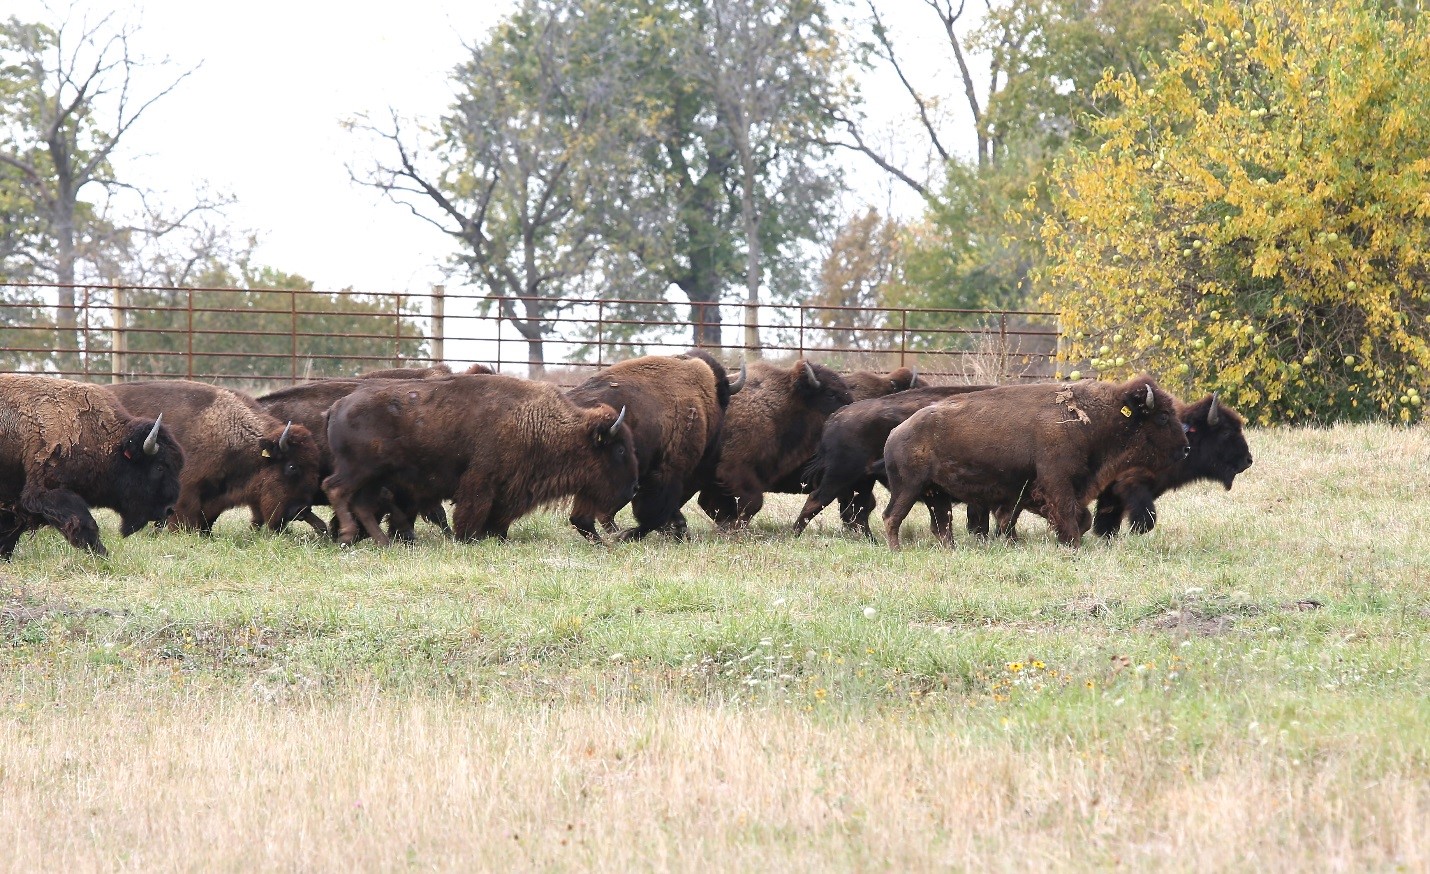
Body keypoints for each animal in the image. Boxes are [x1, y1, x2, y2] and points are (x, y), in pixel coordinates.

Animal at [323, 374, 637, 545]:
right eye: (620, 450)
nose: (634, 488)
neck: (536, 421)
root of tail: (336, 406)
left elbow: (499, 516)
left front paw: (495, 536)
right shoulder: (481, 482)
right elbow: (473, 511)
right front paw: (468, 537)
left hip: (372, 478)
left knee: (360, 504)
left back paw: (383, 541)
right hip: (360, 471)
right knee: (335, 488)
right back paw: (349, 535)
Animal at [882, 376, 1190, 549]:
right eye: (1163, 416)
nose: (1186, 449)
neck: (1094, 420)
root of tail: (895, 433)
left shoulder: (1027, 491)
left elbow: (1077, 517)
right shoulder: (1057, 482)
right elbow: (1068, 514)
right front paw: (1072, 545)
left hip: (936, 494)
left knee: (941, 525)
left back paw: (951, 550)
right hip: (908, 488)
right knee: (892, 517)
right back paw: (897, 550)